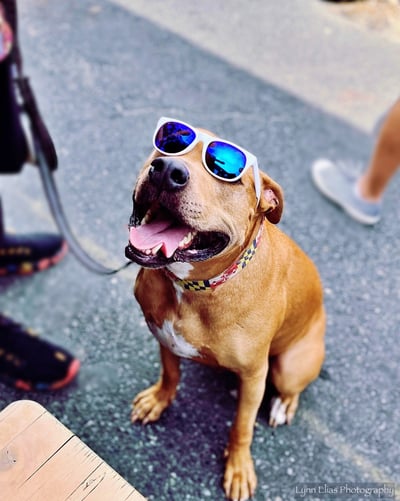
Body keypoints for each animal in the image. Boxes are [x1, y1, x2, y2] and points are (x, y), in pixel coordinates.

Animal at [125, 118, 324, 500]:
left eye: (225, 173)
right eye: (169, 144)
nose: (167, 170)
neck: (193, 288)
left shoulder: (254, 376)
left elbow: (242, 425)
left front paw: (239, 467)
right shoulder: (163, 335)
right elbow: (170, 373)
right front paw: (159, 399)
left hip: (288, 367)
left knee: (291, 388)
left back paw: (283, 405)